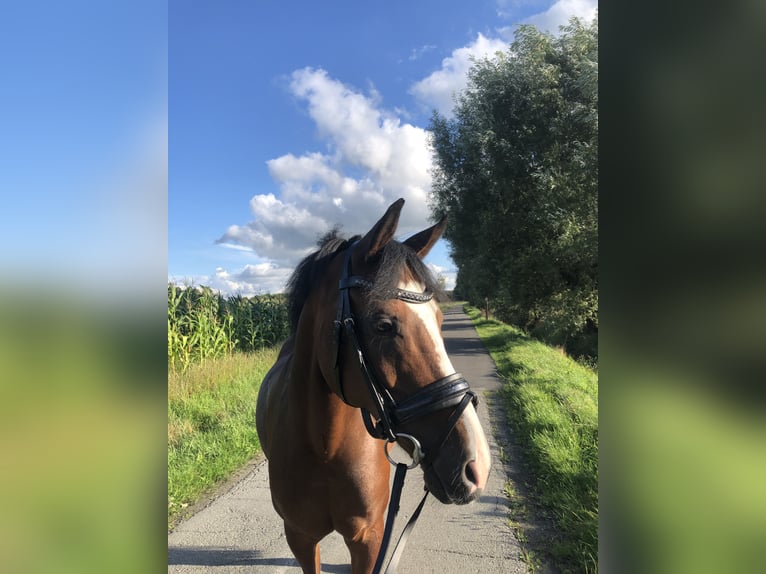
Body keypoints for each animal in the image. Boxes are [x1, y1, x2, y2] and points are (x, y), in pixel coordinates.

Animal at [256, 198, 491, 574]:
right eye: (383, 325)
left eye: (439, 320)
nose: (477, 465)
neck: (324, 447)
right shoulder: (301, 539)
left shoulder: (368, 539)